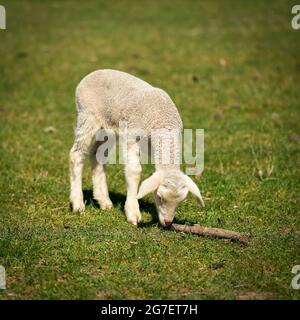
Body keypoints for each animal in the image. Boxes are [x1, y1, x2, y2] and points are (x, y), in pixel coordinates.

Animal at [69, 69, 205, 226]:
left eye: (180, 201)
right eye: (159, 197)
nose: (168, 222)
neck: (162, 121)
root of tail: (93, 73)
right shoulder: (131, 136)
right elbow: (134, 171)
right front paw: (133, 212)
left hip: (107, 127)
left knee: (97, 155)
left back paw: (103, 201)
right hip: (87, 116)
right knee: (76, 154)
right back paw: (77, 203)